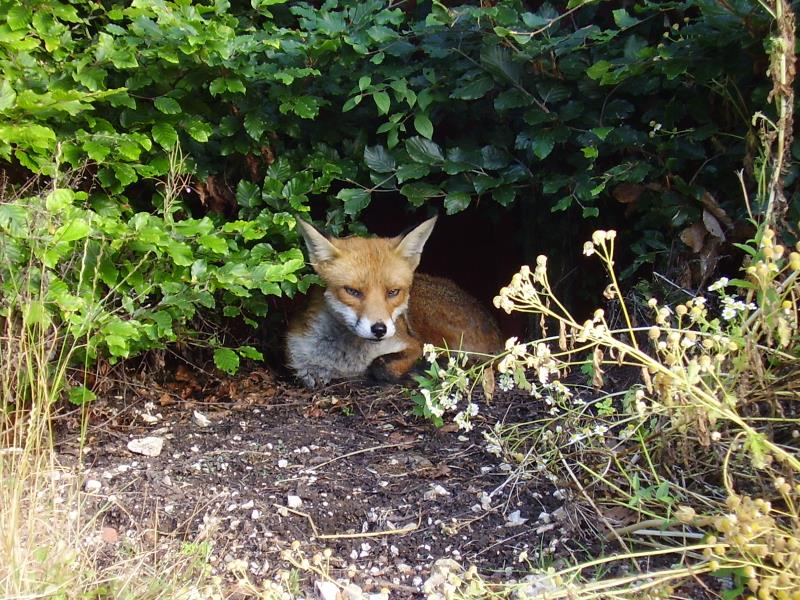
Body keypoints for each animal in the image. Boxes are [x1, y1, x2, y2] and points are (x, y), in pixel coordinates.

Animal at [286, 215, 503, 388]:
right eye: (353, 291)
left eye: (393, 292)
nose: (379, 329)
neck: (349, 360)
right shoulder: (297, 354)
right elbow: (307, 374)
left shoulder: (412, 344)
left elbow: (381, 364)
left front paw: (414, 373)